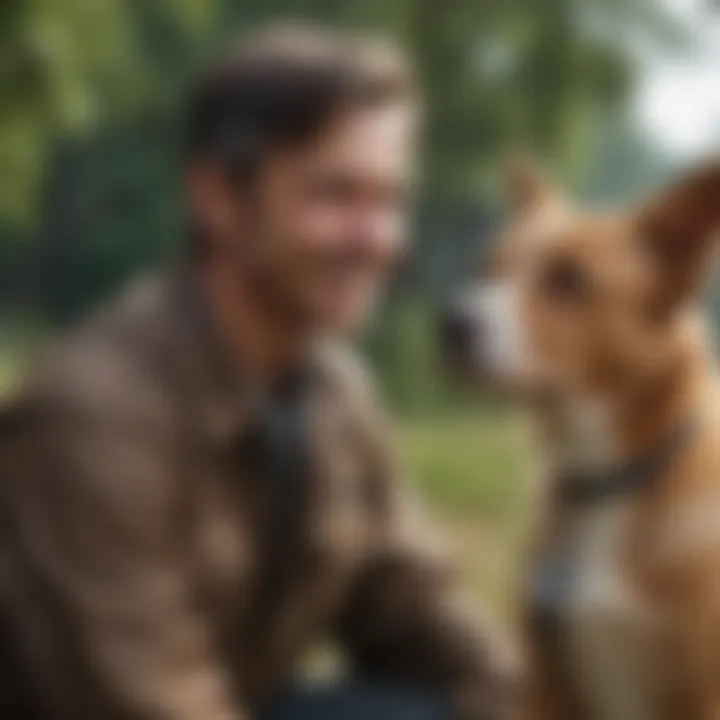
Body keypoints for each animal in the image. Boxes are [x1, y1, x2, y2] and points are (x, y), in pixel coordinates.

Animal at [444, 162, 720, 720]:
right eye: (489, 268)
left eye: (569, 279)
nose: (452, 324)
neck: (608, 484)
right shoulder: (547, 685)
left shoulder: (700, 696)